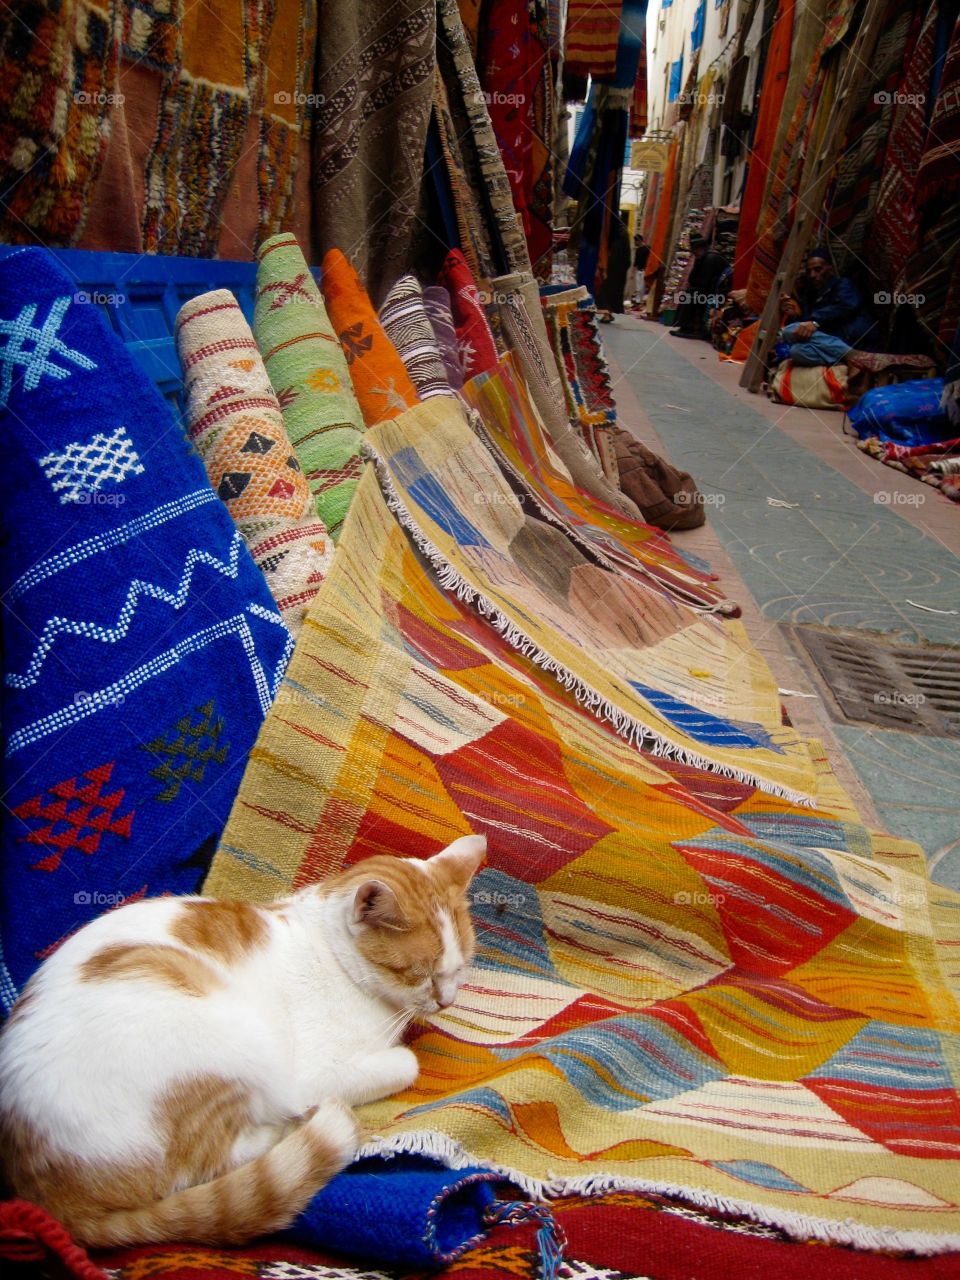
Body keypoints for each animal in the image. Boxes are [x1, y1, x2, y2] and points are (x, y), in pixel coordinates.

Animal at [0, 834, 483, 1244]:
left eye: (461, 967)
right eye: (420, 973)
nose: (446, 1001)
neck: (333, 953)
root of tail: (50, 1199)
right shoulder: (313, 1072)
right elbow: (406, 1063)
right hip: (239, 1043)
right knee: (212, 1161)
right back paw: (295, 1126)